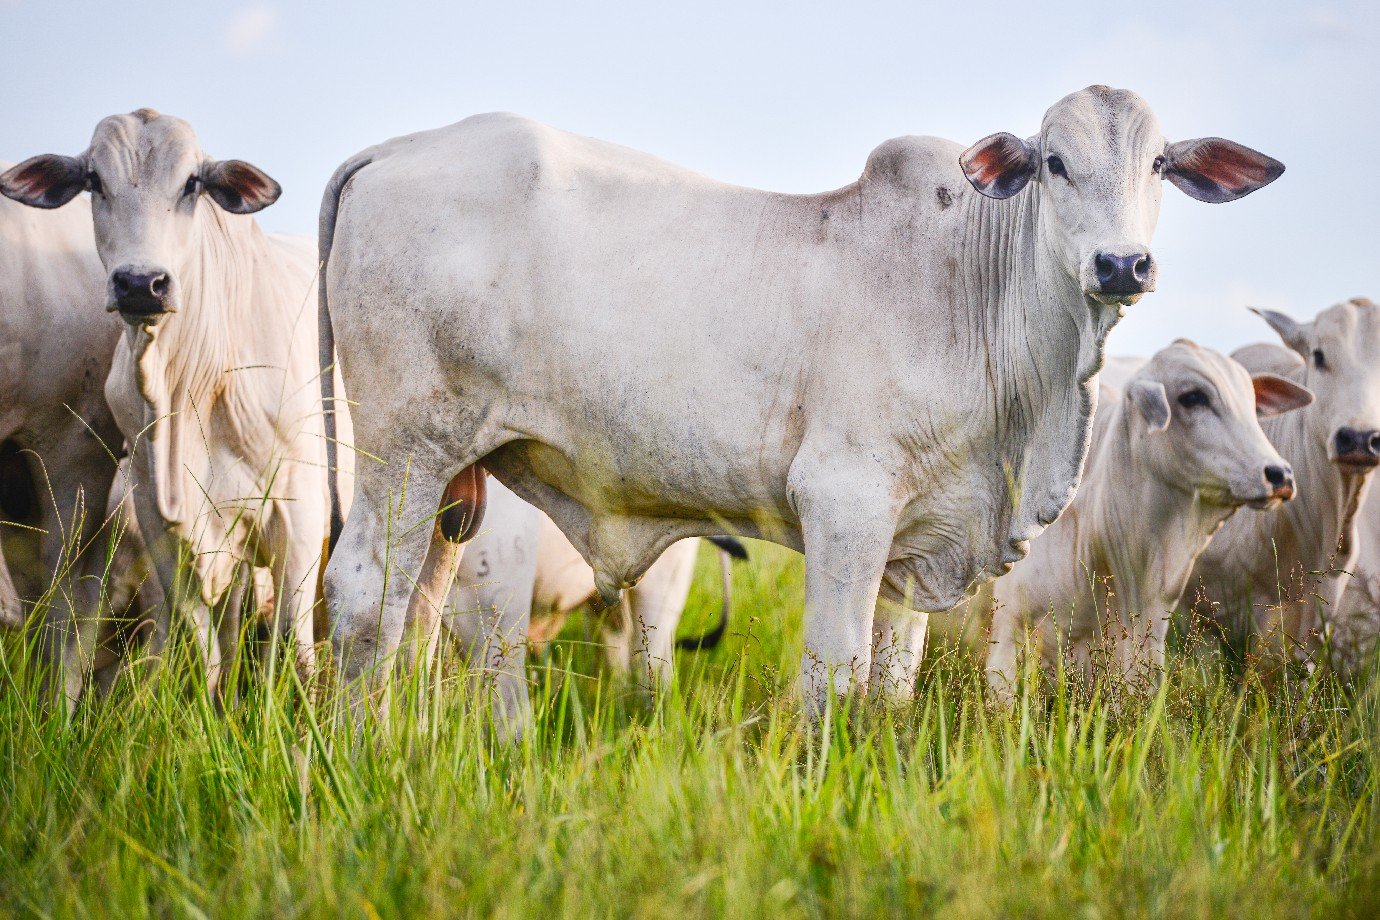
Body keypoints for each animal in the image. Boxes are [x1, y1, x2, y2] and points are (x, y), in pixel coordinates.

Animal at [2, 109, 345, 697]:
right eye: (94, 181)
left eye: (192, 183)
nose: (142, 283)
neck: (193, 383)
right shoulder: (162, 519)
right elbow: (205, 654)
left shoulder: (299, 511)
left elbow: (294, 656)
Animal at [316, 86, 1280, 717]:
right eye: (1054, 162)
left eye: (1158, 162)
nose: (1122, 264)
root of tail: (396, 149)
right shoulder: (844, 503)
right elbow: (832, 675)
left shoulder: (914, 541)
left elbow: (889, 686)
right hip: (400, 450)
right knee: (364, 601)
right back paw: (366, 749)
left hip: (456, 478)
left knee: (419, 610)